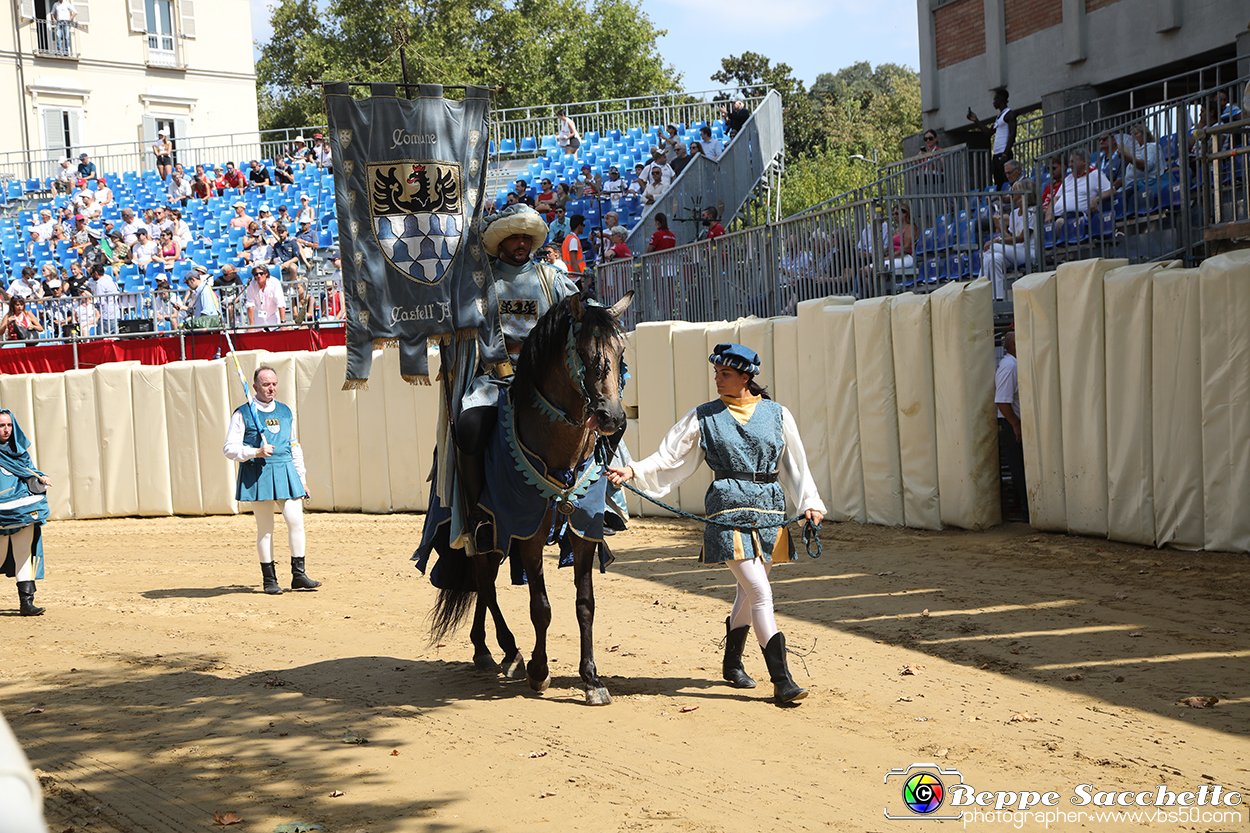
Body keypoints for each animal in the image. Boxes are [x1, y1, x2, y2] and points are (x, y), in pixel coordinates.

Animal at [432, 288, 635, 705]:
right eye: (586, 355)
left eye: (621, 352)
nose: (612, 418)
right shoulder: (527, 533)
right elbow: (540, 607)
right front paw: (540, 672)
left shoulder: (583, 533)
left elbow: (585, 605)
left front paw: (592, 679)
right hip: (484, 528)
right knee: (485, 580)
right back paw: (502, 650)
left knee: (486, 582)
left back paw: (492, 649)